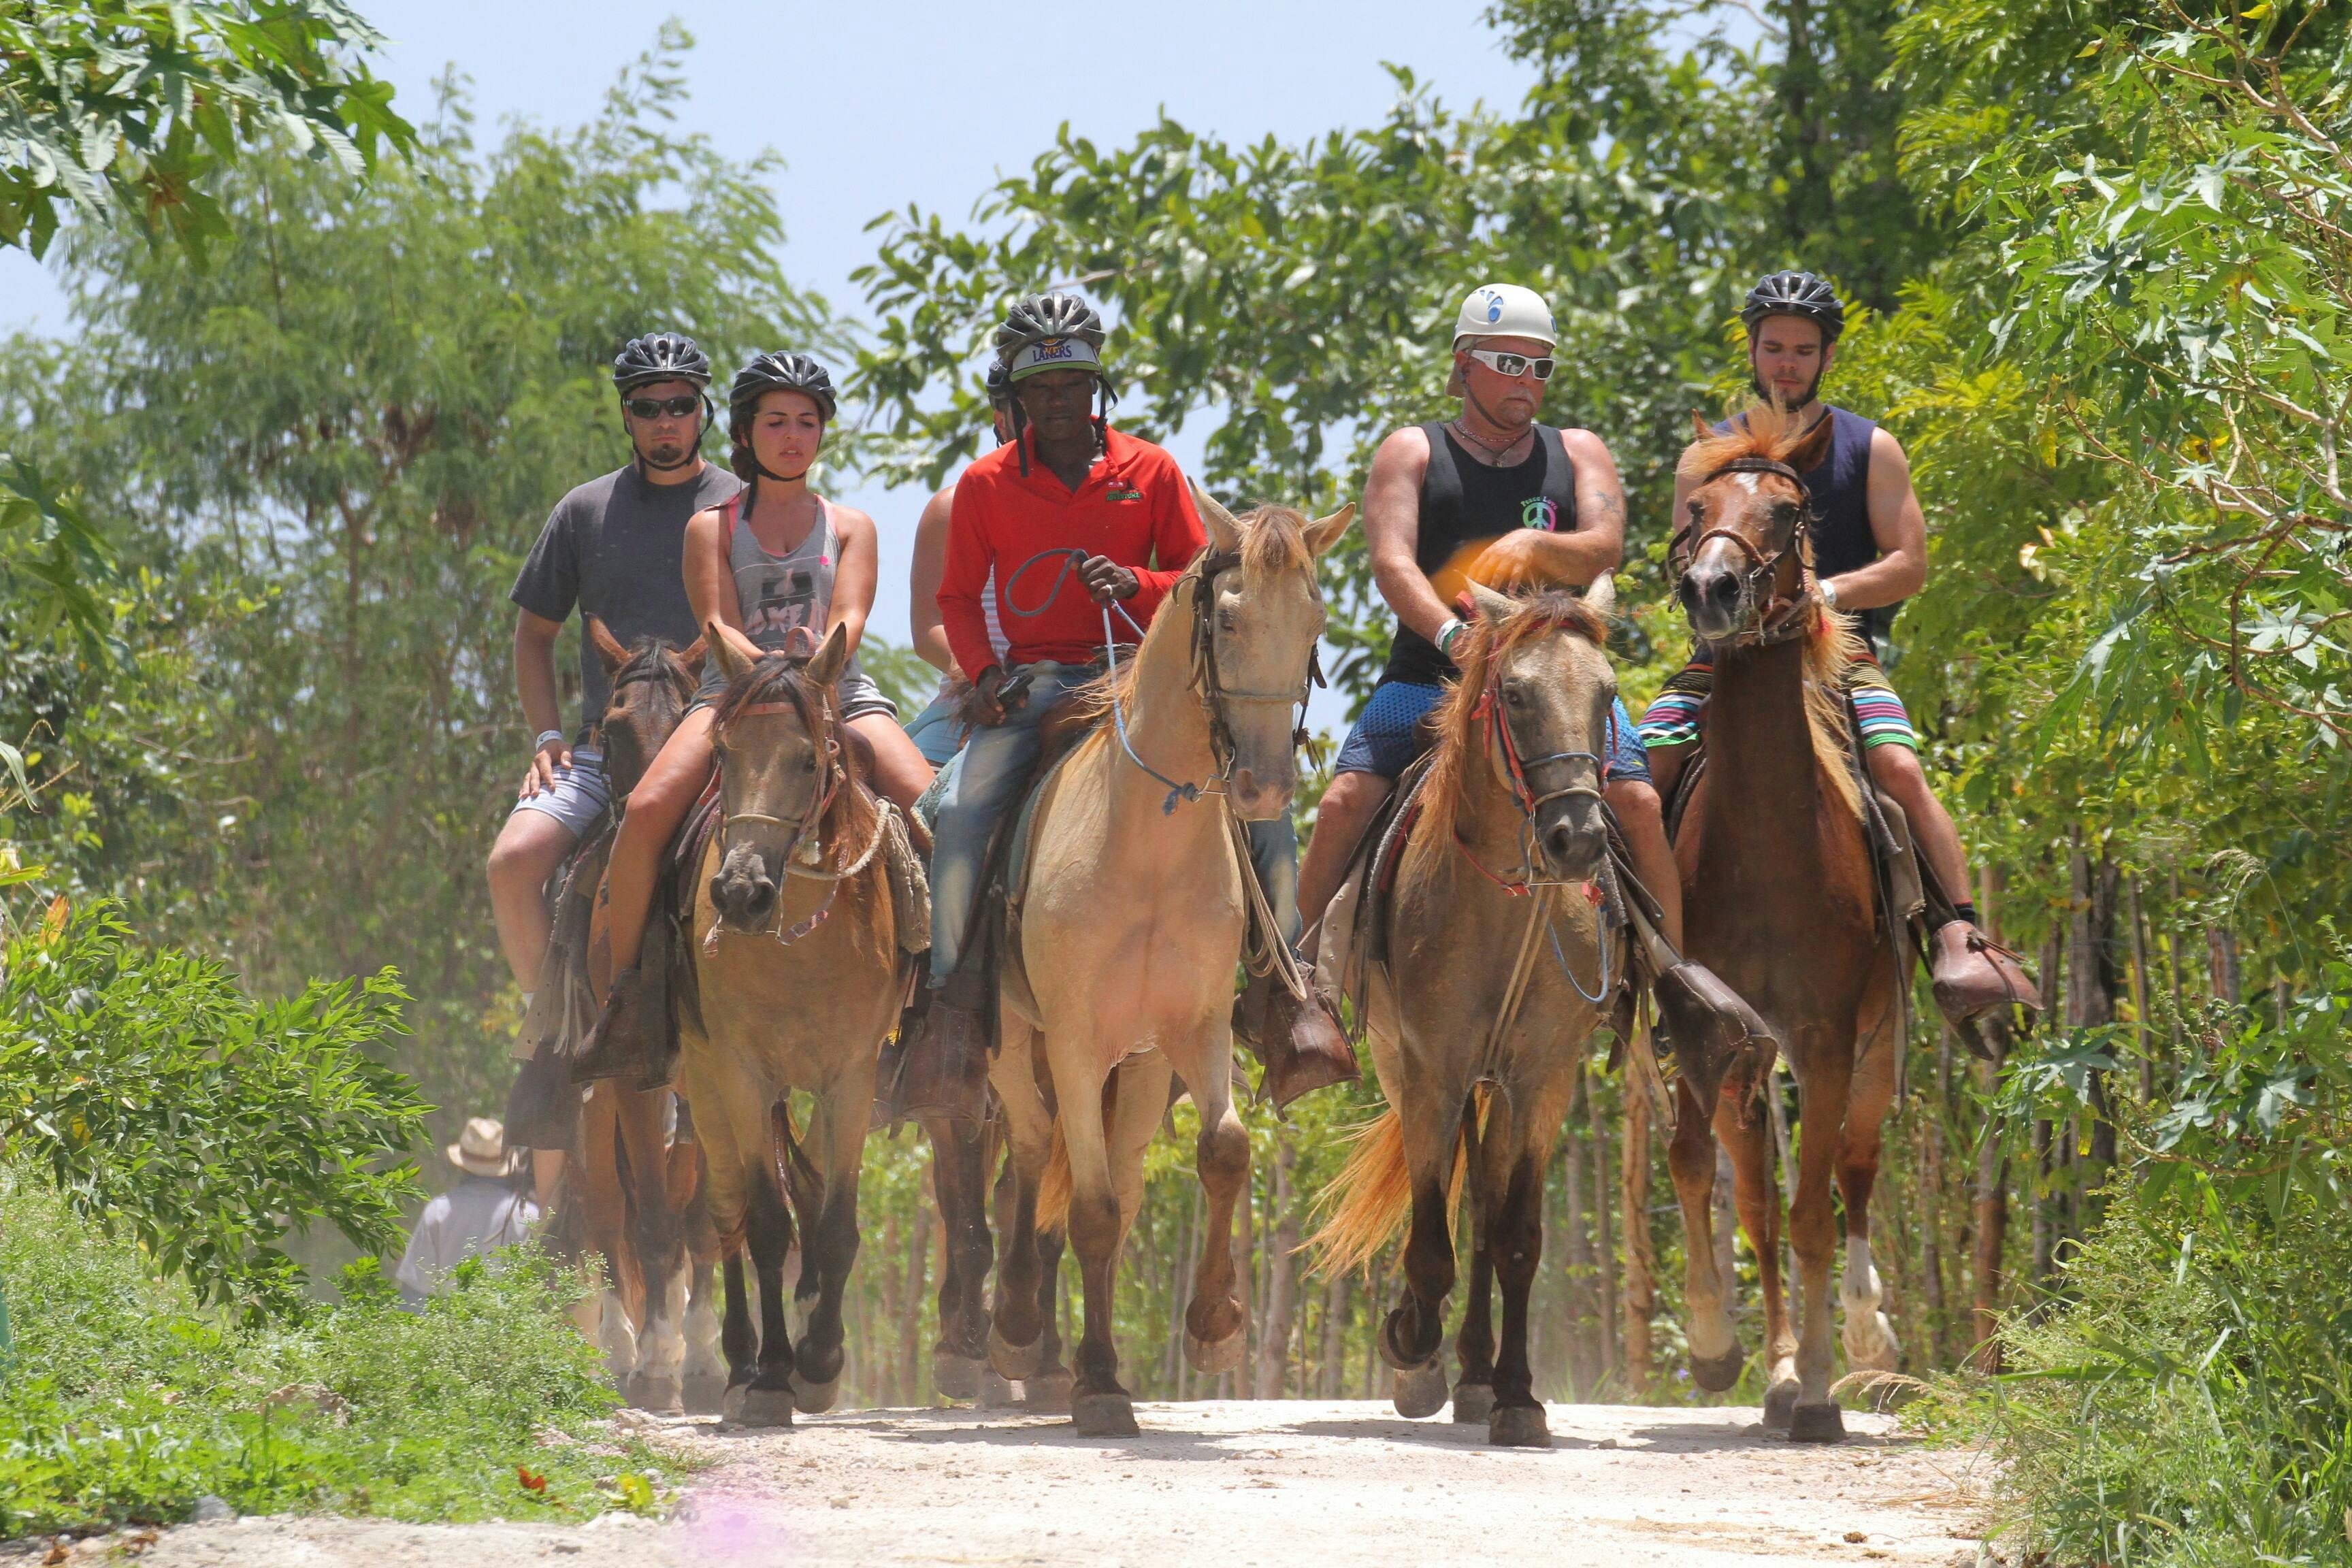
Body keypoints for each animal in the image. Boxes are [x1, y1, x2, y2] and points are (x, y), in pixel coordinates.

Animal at [682, 630, 908, 1429]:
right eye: (721, 755)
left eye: (809, 759)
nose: (740, 893)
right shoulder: (742, 1076)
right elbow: (766, 1223)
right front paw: (776, 1374)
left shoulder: (854, 1077)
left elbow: (834, 1224)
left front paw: (821, 1361)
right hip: (707, 1093)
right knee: (725, 1215)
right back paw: (740, 1362)